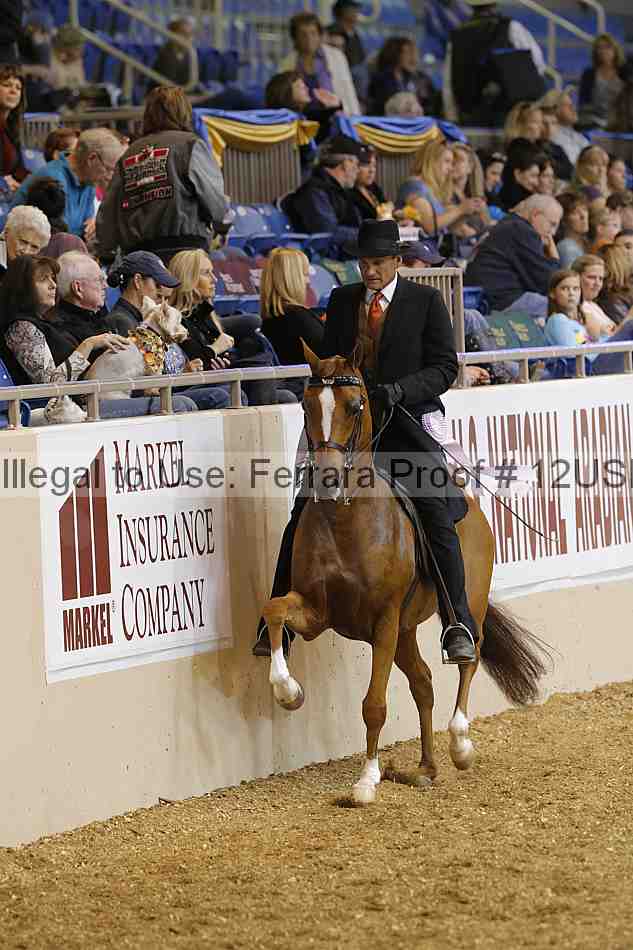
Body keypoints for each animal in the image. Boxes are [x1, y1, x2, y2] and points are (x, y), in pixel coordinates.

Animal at [262, 345, 548, 806]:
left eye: (356, 405)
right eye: (307, 406)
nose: (326, 478)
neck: (346, 521)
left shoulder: (384, 621)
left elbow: (374, 704)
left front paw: (365, 782)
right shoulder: (317, 612)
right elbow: (273, 611)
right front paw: (288, 692)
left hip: (463, 606)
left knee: (469, 656)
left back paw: (460, 745)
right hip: (407, 631)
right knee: (423, 682)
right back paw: (424, 769)